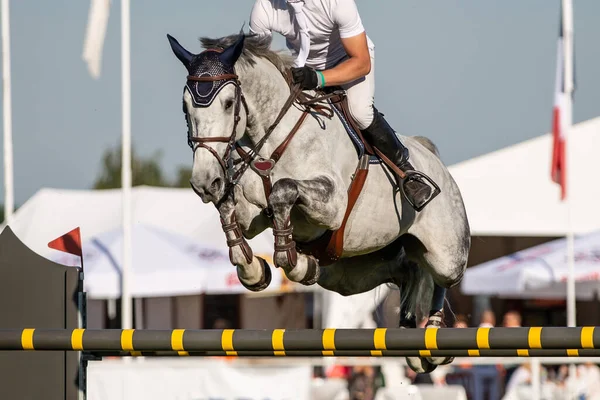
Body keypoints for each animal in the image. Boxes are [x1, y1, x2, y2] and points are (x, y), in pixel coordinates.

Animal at [166, 32, 472, 376]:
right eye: (185, 106)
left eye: (228, 103)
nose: (205, 182)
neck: (272, 141)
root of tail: (433, 158)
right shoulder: (251, 213)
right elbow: (229, 209)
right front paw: (255, 269)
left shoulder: (331, 205)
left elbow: (283, 190)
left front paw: (292, 259)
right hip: (352, 273)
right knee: (408, 271)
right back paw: (410, 335)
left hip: (445, 254)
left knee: (439, 278)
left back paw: (433, 336)